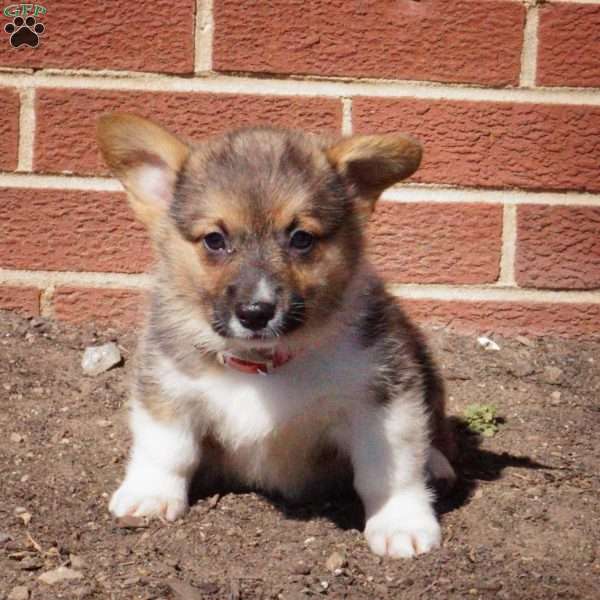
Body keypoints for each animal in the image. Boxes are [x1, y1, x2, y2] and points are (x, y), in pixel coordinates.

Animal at [98, 113, 454, 556]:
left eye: (301, 238)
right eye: (214, 240)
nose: (255, 313)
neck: (263, 363)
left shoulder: (383, 400)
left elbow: (389, 472)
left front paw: (400, 523)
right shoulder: (167, 388)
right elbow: (166, 449)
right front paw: (149, 495)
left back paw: (436, 465)